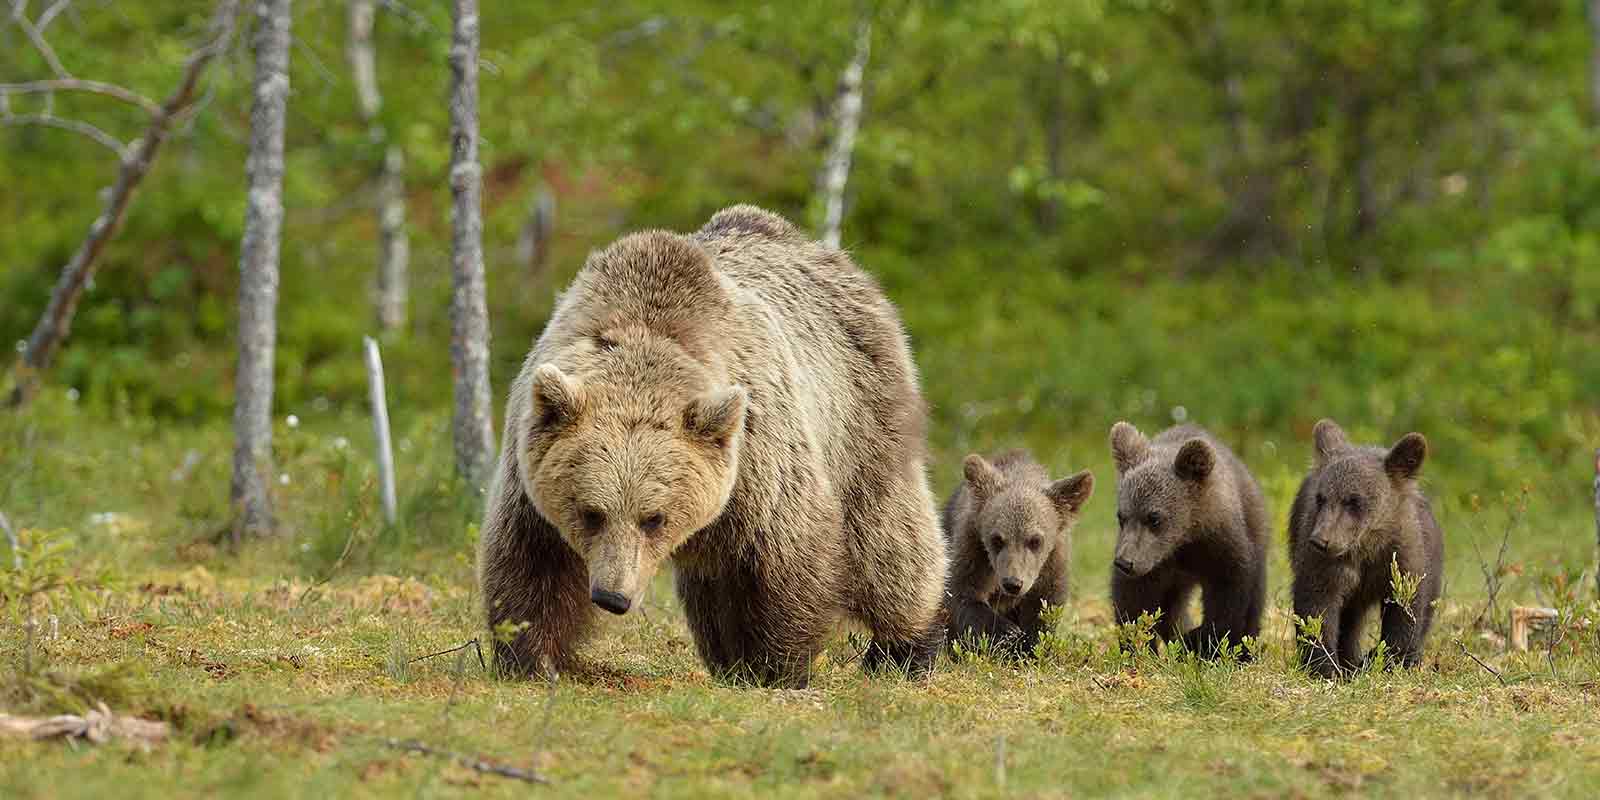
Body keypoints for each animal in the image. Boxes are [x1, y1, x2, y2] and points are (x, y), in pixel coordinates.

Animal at [475, 205, 947, 687]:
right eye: (591, 512)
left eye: (653, 518)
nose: (612, 597)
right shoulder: (528, 477)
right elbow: (530, 563)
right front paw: (531, 659)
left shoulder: (760, 457)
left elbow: (789, 554)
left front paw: (779, 667)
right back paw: (726, 656)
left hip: (861, 416)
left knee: (888, 537)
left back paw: (906, 647)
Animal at [941, 450, 1093, 657]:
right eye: (997, 539)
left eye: (1035, 540)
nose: (1013, 583)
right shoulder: (973, 548)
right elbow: (962, 593)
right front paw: (1007, 631)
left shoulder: (1051, 563)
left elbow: (1044, 606)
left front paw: (1029, 645)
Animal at [1108, 422, 1269, 659]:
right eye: (1121, 516)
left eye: (1154, 517)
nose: (1125, 562)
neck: (1183, 541)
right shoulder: (1153, 562)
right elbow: (1133, 601)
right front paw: (1140, 649)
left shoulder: (1220, 546)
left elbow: (1228, 595)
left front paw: (1203, 642)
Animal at [1288, 419, 1444, 678]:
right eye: (1320, 498)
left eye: (1354, 500)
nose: (1321, 540)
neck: (1366, 547)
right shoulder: (1323, 565)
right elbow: (1317, 608)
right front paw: (1326, 668)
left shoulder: (1401, 559)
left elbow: (1405, 611)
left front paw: (1390, 661)